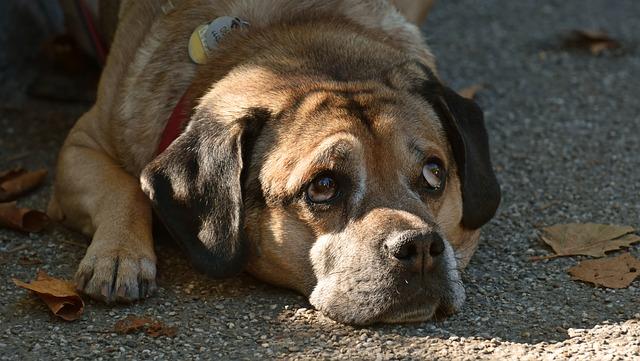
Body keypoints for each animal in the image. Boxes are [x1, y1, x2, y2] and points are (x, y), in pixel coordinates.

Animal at [48, 0, 500, 324]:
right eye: (323, 186)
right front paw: (118, 255)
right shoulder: (82, 144)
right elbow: (124, 189)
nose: (420, 246)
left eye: (434, 173)